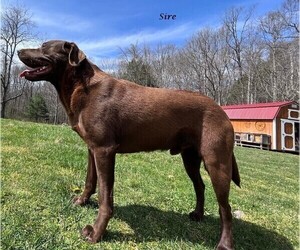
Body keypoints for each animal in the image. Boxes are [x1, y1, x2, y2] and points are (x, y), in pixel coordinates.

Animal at [18, 40, 239, 249]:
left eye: (44, 46)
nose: (19, 51)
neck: (82, 86)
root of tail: (222, 111)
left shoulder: (104, 150)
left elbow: (105, 198)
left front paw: (96, 233)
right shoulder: (92, 148)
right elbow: (90, 181)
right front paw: (82, 201)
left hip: (217, 162)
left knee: (225, 208)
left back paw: (225, 244)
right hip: (190, 157)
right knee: (200, 186)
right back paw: (198, 215)